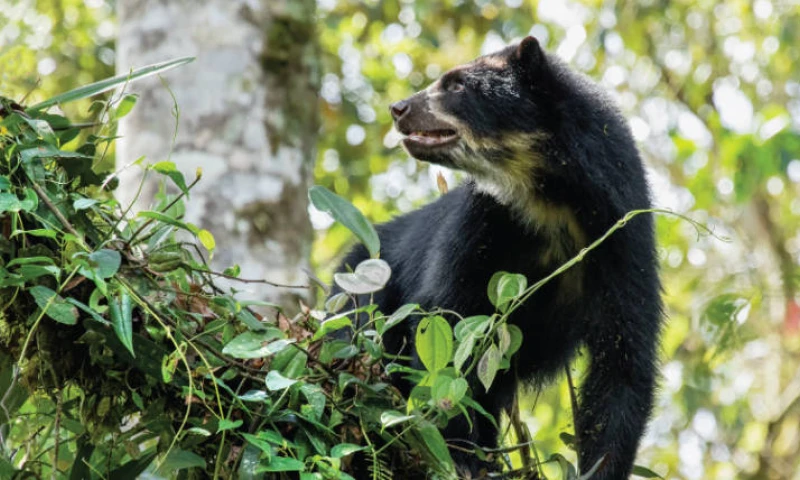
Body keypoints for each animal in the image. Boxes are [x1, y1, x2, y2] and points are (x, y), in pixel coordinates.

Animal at [334, 36, 662, 479]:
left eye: (456, 85)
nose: (398, 108)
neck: (549, 200)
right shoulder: (481, 224)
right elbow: (449, 324)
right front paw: (462, 455)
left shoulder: (621, 237)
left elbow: (623, 360)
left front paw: (597, 467)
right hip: (363, 288)